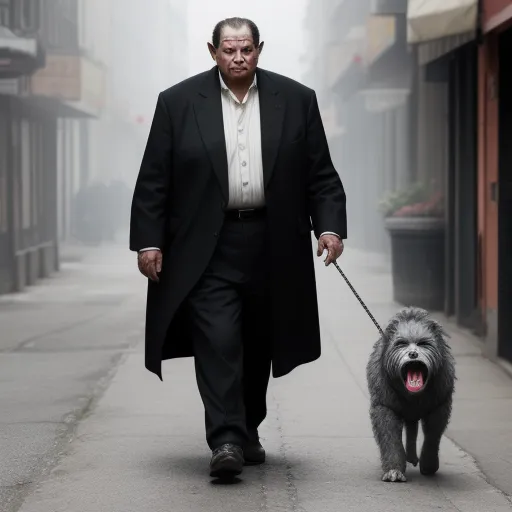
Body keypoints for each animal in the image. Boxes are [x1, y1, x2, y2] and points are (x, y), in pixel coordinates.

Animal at [364, 306, 456, 482]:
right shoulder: (385, 405)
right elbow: (389, 436)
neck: (413, 396)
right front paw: (394, 470)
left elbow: (432, 434)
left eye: (424, 343)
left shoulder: (439, 404)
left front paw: (428, 465)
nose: (413, 354)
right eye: (401, 344)